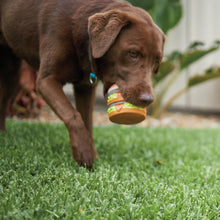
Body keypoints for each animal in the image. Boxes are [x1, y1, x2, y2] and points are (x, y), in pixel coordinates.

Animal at [0, 0, 165, 168]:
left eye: (156, 62)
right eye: (133, 53)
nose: (148, 100)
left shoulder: (85, 88)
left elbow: (87, 122)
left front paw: (92, 153)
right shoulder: (45, 81)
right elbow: (73, 115)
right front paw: (84, 154)